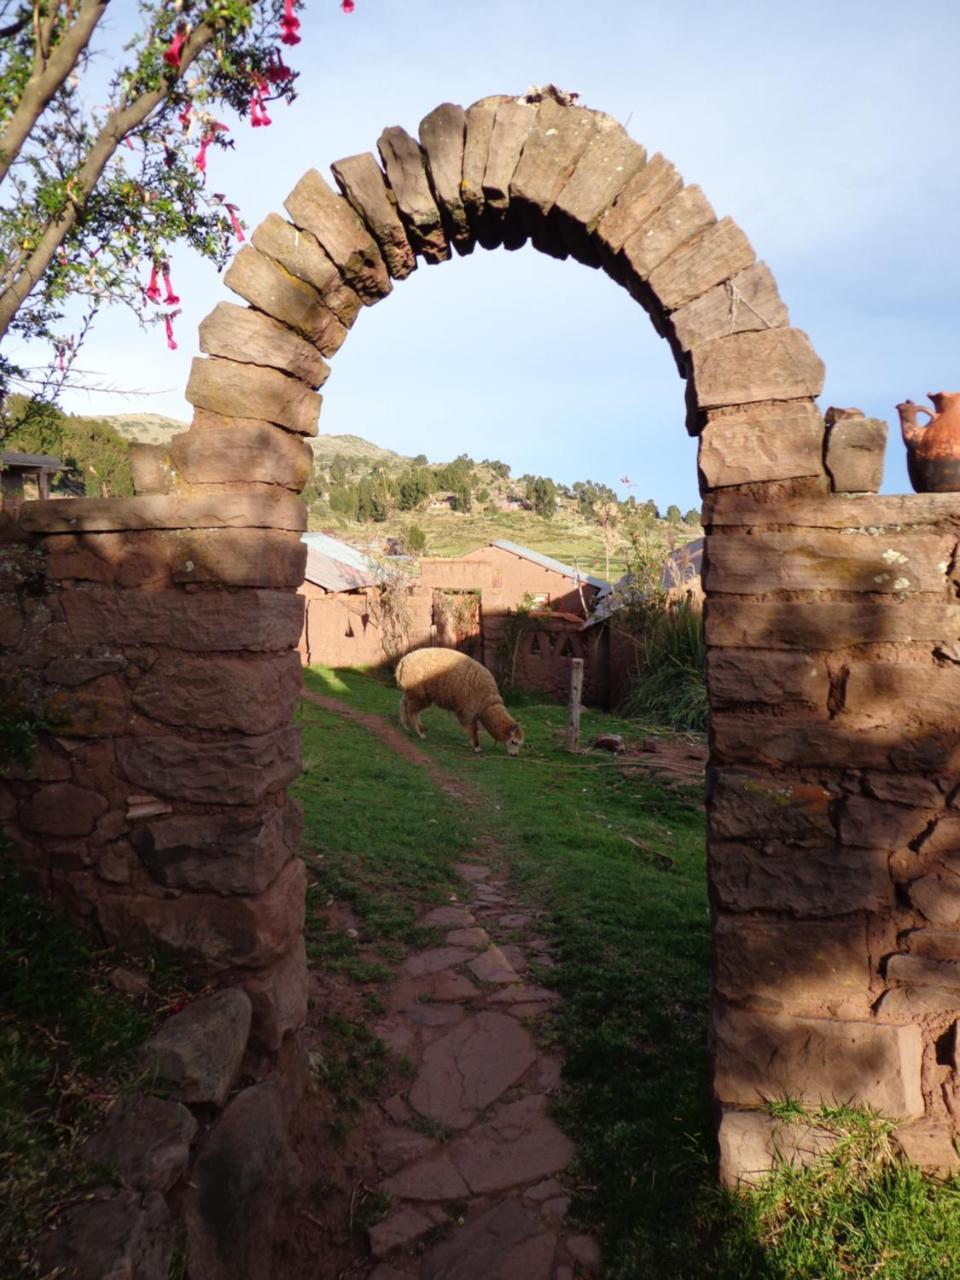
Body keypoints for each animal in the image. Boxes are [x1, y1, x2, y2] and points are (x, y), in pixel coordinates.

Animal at [396, 645, 527, 752]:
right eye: (514, 742)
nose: (515, 755)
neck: (486, 702)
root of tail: (403, 661)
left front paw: (473, 744)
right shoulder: (466, 709)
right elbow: (472, 728)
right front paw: (477, 747)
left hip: (412, 691)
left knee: (404, 703)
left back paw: (405, 725)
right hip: (420, 693)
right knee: (413, 712)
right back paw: (420, 732)